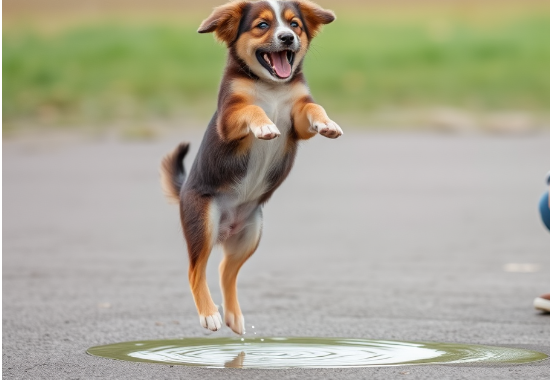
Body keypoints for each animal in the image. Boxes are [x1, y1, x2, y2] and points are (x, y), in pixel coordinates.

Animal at [161, 0, 340, 336]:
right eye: (262, 26)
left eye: (294, 25)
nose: (287, 38)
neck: (271, 87)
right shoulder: (230, 119)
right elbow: (253, 108)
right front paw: (265, 126)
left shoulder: (299, 122)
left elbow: (313, 106)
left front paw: (328, 123)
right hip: (203, 224)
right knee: (195, 270)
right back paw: (210, 315)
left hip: (249, 236)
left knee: (224, 270)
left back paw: (234, 316)